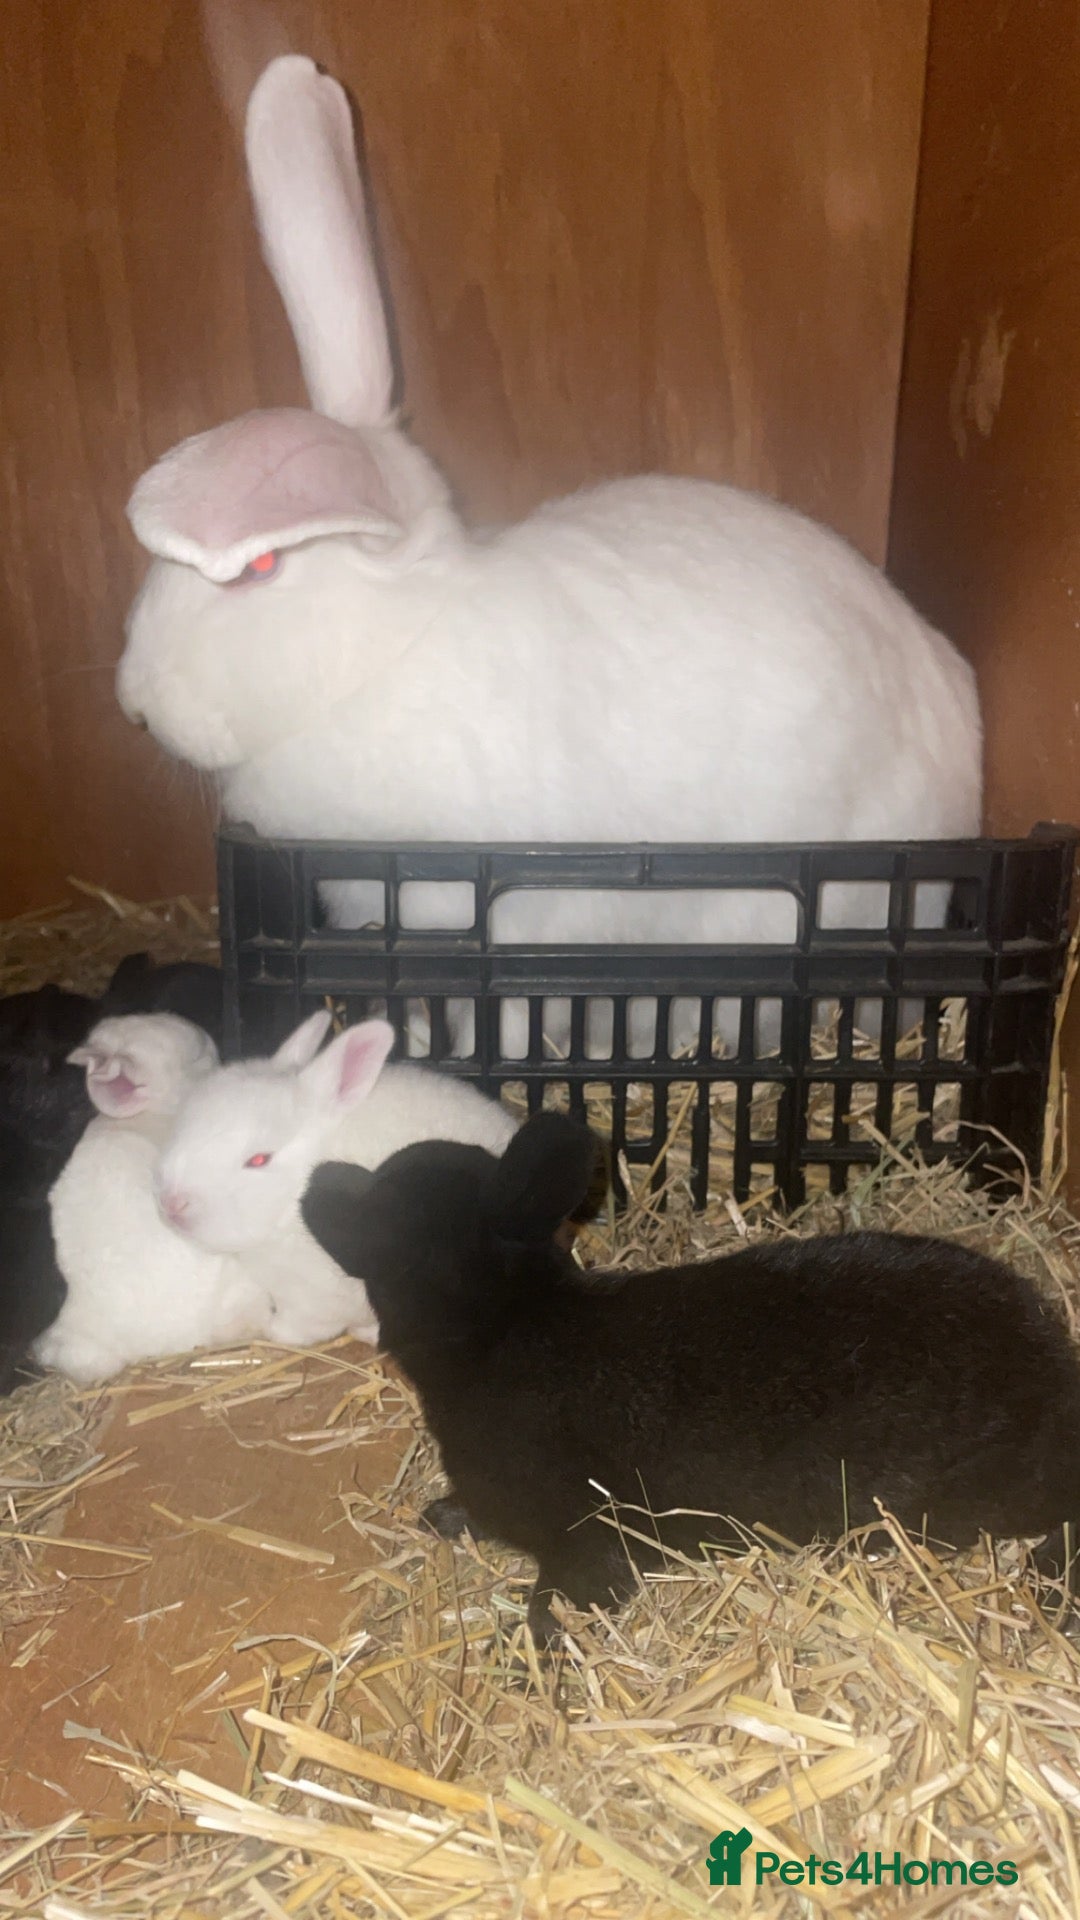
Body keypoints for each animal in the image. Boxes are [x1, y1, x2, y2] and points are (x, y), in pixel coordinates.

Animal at [154, 1008, 517, 1343]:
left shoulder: (313, 1304)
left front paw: (267, 1327)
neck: (288, 1208)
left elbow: (291, 1332)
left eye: (258, 1159)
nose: (171, 1204)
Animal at [302, 1111, 1080, 1644]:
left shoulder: (592, 1542)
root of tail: (1054, 1364)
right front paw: (443, 1516)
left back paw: (1051, 1587)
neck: (502, 1324)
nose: (324, 1191)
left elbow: (553, 1605)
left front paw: (527, 1660)